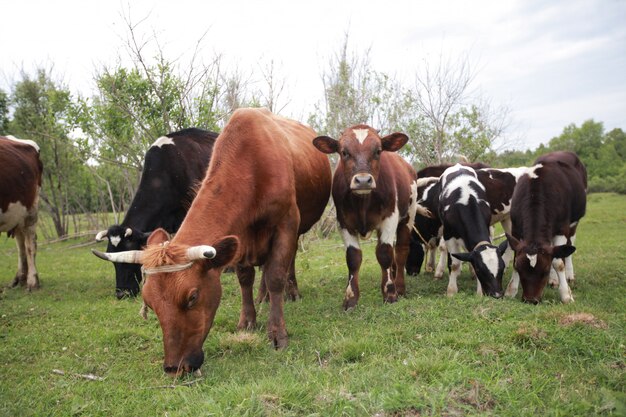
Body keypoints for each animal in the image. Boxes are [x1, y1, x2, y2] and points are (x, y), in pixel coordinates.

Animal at [0, 136, 42, 290]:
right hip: (16, 215)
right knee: (21, 245)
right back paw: (19, 278)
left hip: (31, 210)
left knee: (30, 243)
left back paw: (32, 281)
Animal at [310, 123, 414, 308]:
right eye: (344, 152)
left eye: (378, 151)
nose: (363, 181)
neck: (363, 202)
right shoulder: (344, 223)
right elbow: (353, 258)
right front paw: (350, 298)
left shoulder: (390, 219)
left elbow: (385, 254)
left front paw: (390, 293)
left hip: (408, 217)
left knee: (401, 251)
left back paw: (400, 287)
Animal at [502, 151, 584, 304]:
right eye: (520, 269)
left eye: (544, 271)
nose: (530, 300)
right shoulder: (515, 229)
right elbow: (516, 256)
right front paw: (511, 290)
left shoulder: (562, 229)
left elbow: (558, 262)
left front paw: (566, 294)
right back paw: (554, 280)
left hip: (574, 223)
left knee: (569, 246)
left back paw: (568, 276)